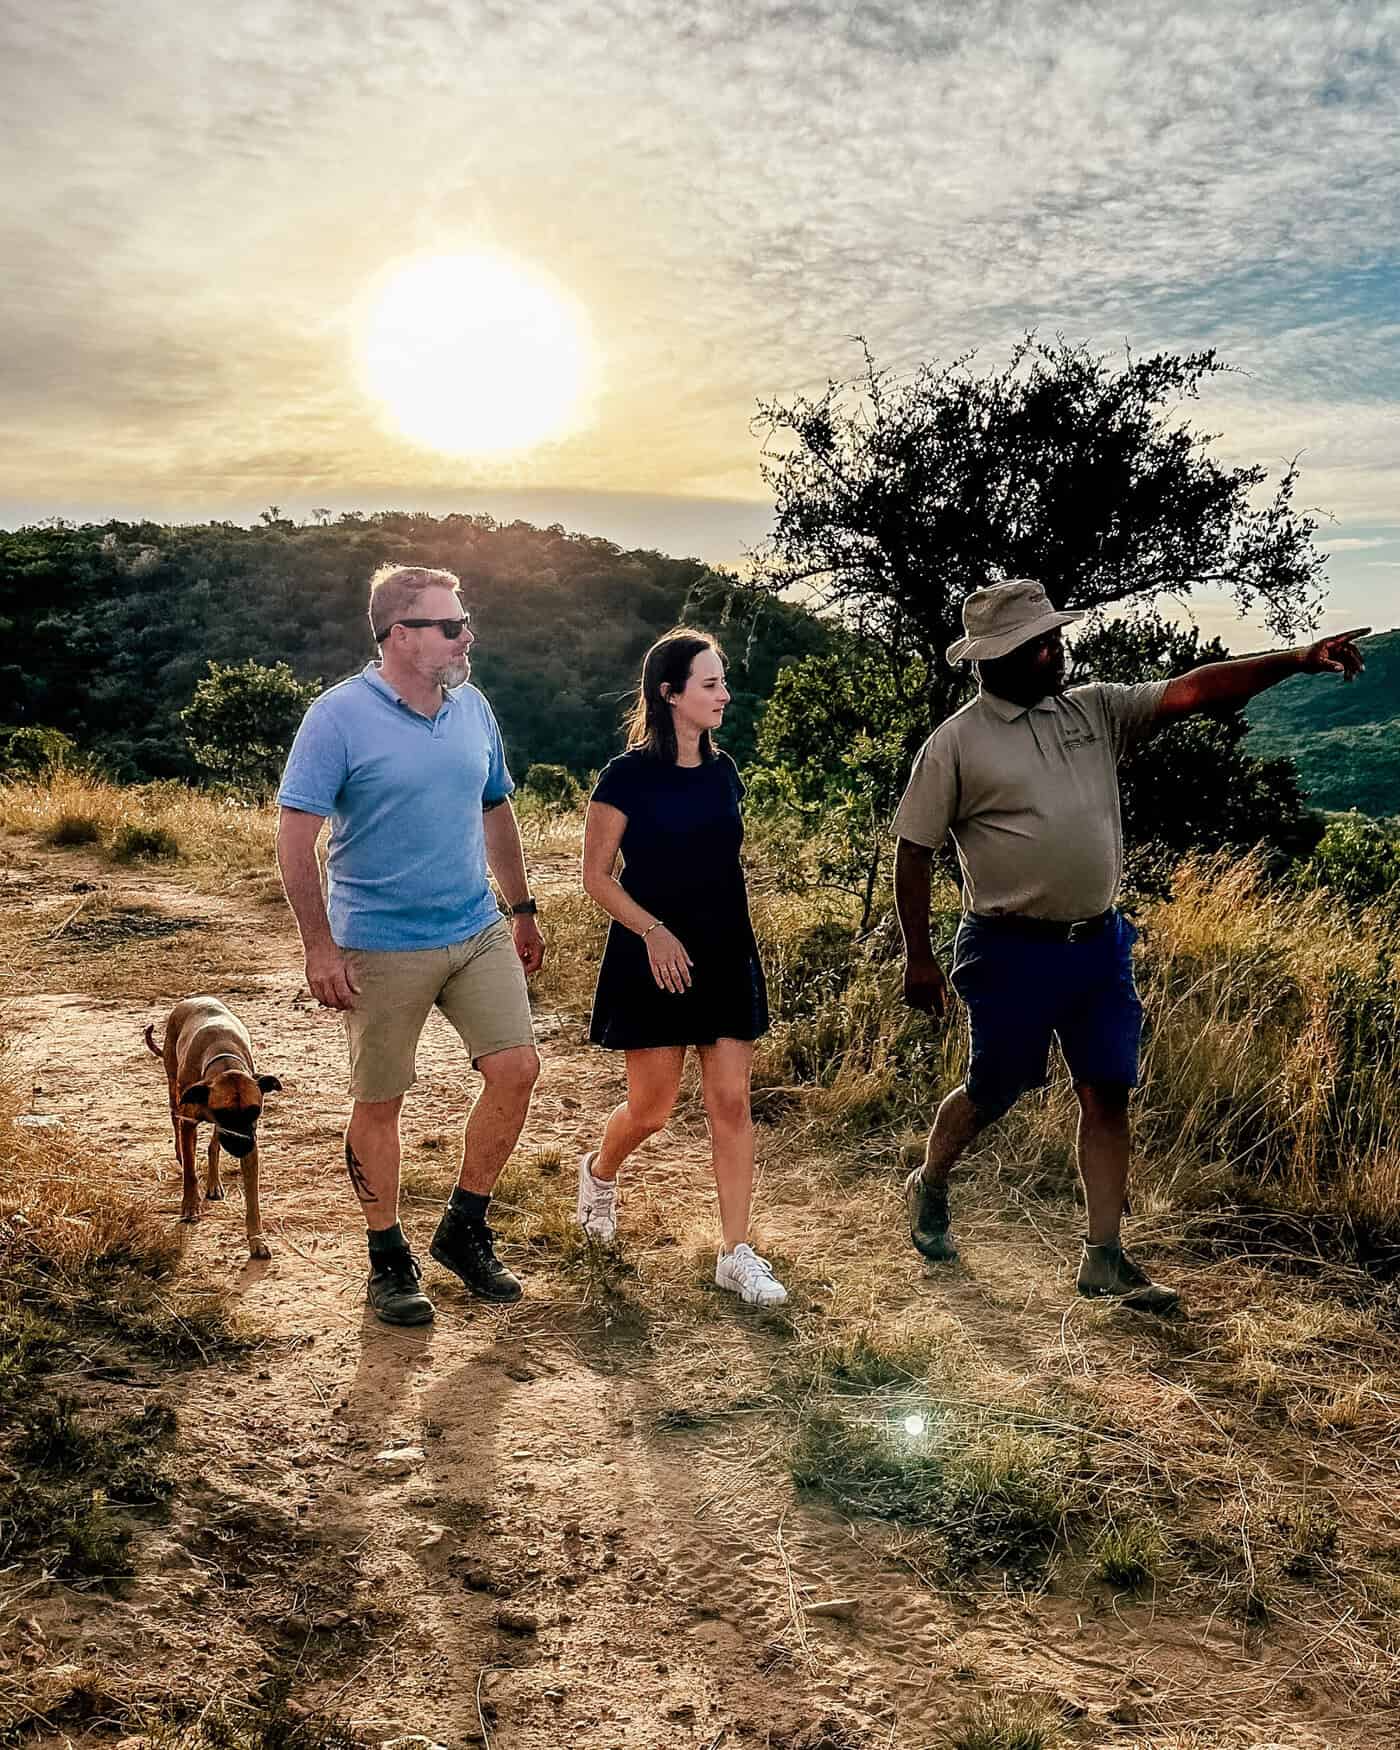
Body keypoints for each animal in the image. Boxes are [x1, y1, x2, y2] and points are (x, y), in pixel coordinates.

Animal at [145, 1001, 281, 1260]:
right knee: (175, 1120)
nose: (243, 1146)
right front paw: (190, 1205)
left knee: (213, 1146)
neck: (223, 1059)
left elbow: (253, 1200)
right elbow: (190, 1171)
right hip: (173, 1087)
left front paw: (257, 1239)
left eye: (255, 1111)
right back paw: (181, 1154)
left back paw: (214, 1183)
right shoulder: (190, 1123)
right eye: (225, 1113)